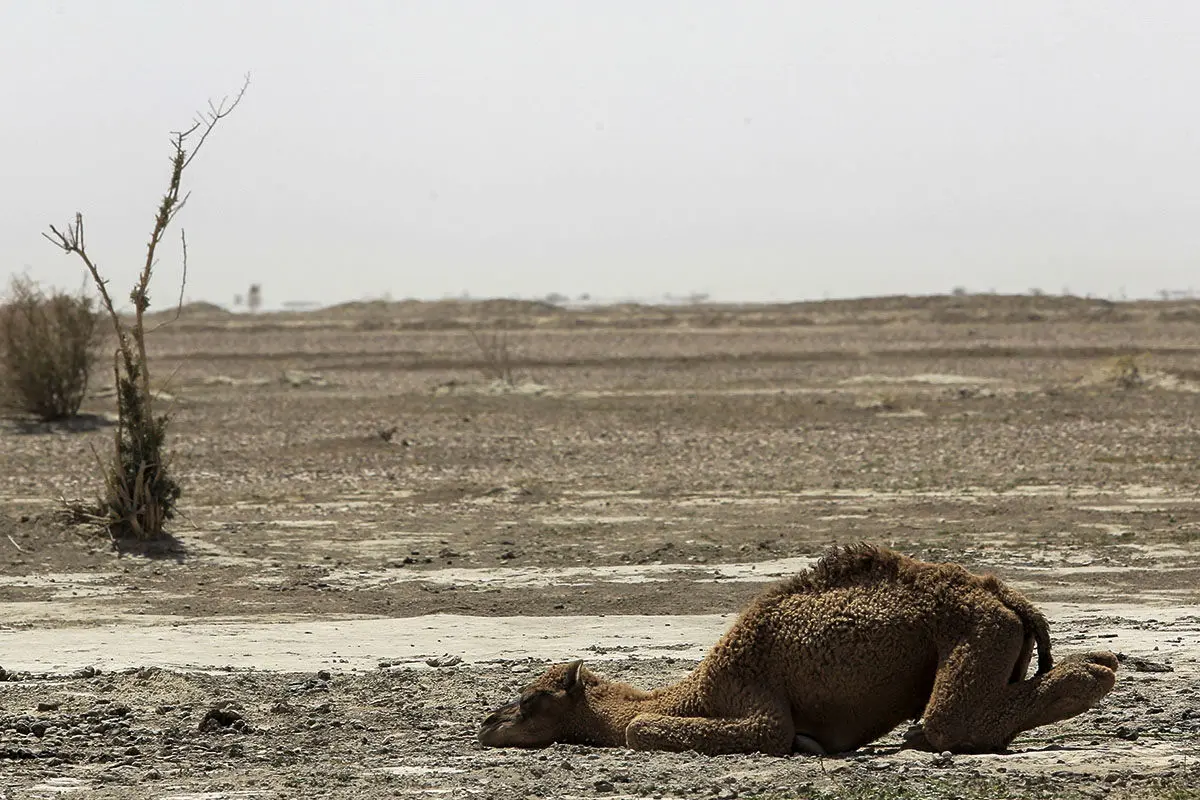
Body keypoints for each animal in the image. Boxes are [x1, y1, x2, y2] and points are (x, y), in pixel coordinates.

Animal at [475, 544, 1113, 758]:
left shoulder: (755, 699)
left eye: (530, 699)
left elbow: (639, 729)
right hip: (995, 638)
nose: (486, 724)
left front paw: (806, 745)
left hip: (975, 633)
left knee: (948, 723)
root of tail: (1010, 599)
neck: (697, 690)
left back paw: (1097, 670)